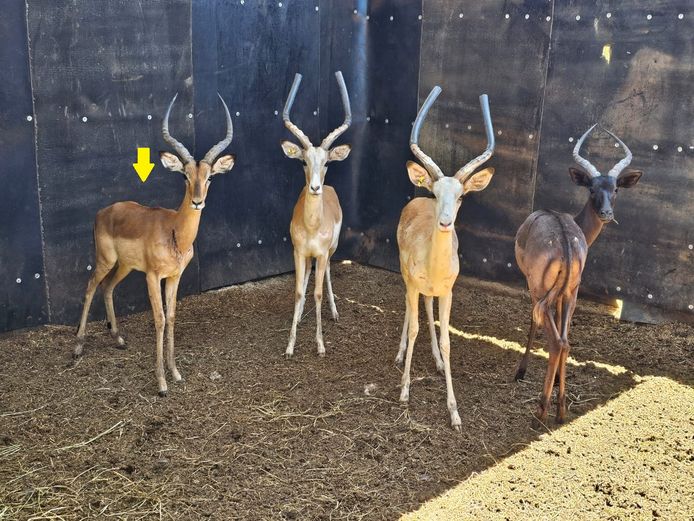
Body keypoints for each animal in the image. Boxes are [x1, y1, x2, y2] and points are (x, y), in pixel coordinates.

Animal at [74, 93, 236, 397]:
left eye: (209, 177)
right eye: (184, 175)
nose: (197, 201)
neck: (175, 232)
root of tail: (102, 212)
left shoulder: (174, 277)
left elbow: (171, 317)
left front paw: (176, 372)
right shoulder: (152, 276)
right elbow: (159, 319)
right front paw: (161, 383)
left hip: (124, 266)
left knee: (107, 287)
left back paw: (118, 339)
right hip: (106, 260)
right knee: (90, 286)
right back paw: (77, 347)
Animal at [396, 87, 495, 430]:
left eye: (462, 195)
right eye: (437, 193)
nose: (445, 222)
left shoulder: (449, 291)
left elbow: (447, 339)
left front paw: (454, 413)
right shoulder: (413, 283)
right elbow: (414, 326)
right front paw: (404, 391)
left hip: (433, 292)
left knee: (427, 309)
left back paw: (437, 363)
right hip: (406, 278)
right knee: (410, 310)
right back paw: (400, 354)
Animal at [514, 124, 642, 423]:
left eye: (615, 188)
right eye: (592, 188)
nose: (606, 212)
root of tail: (564, 243)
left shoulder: (535, 289)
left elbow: (532, 323)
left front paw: (521, 372)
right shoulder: (564, 294)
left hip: (540, 290)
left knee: (556, 340)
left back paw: (542, 409)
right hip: (570, 293)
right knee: (565, 341)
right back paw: (560, 409)